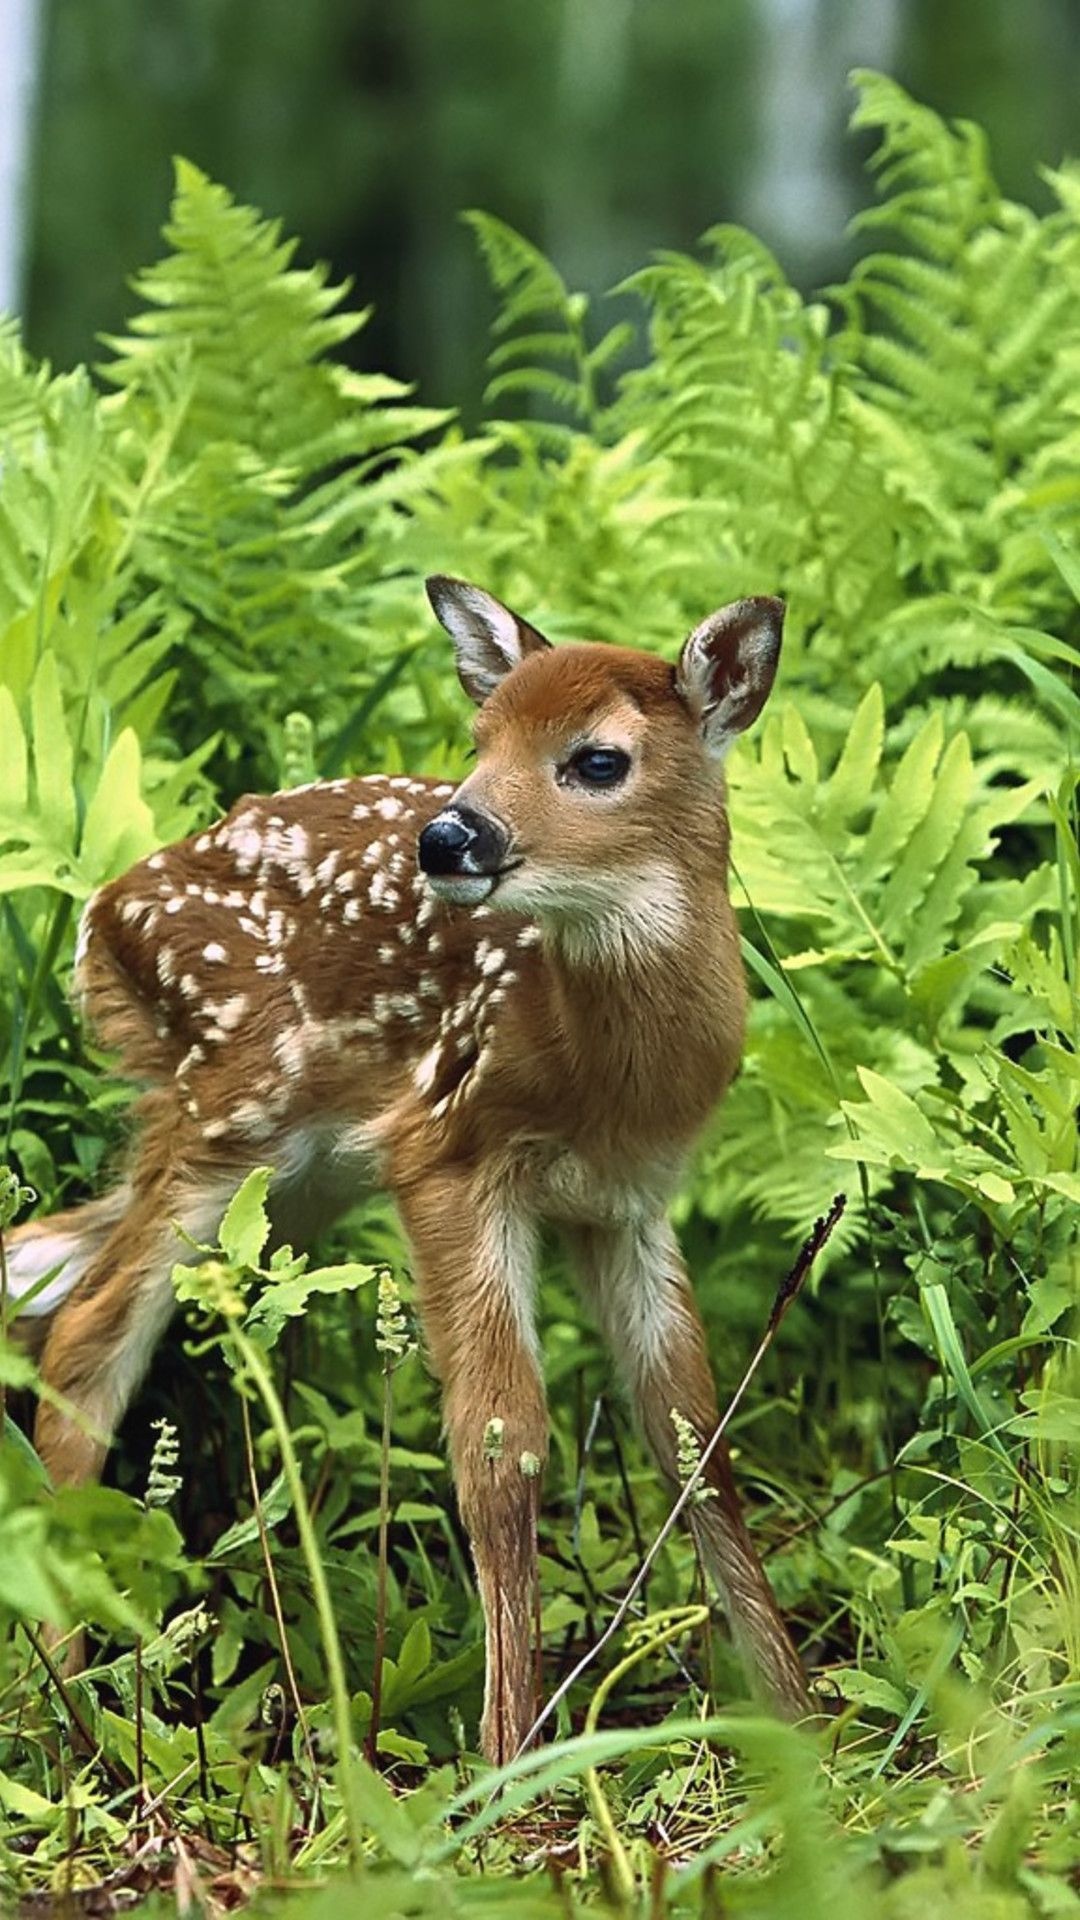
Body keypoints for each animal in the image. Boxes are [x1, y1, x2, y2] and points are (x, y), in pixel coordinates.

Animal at [4, 579, 803, 1758]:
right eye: (480, 739)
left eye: (596, 760)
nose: (450, 835)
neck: (595, 1074)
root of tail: (100, 914)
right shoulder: (446, 1154)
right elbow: (500, 1451)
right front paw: (508, 1755)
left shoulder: (628, 1203)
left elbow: (694, 1438)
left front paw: (804, 1718)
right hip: (231, 1107)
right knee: (90, 1328)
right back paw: (63, 1694)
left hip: (290, 1175)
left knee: (39, 1267)